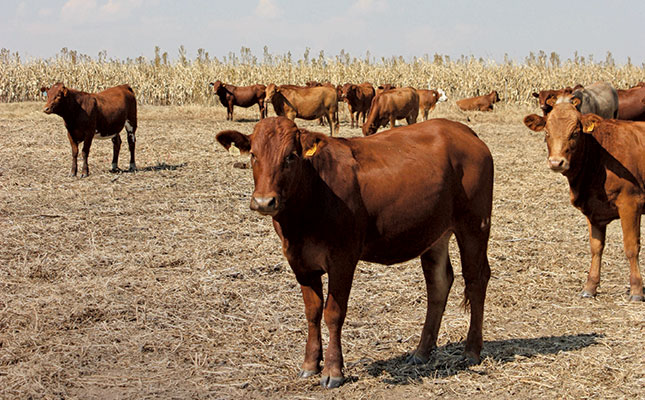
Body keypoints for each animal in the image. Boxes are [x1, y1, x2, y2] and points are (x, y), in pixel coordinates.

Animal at [216, 115, 494, 388]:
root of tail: (460, 129)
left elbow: (333, 313)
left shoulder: (343, 258)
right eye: (253, 154)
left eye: (291, 156)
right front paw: (309, 364)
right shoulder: (299, 261)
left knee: (476, 280)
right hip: (434, 233)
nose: (264, 201)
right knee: (438, 284)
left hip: (475, 225)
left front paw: (333, 371)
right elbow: (312, 312)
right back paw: (422, 352)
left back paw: (471, 350)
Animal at [524, 101, 644, 302]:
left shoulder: (630, 203)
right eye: (547, 132)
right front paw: (590, 287)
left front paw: (636, 290)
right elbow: (596, 247)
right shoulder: (593, 209)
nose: (556, 162)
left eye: (575, 133)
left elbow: (631, 247)